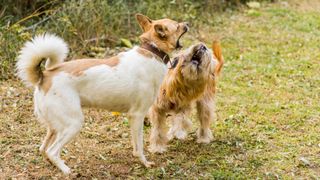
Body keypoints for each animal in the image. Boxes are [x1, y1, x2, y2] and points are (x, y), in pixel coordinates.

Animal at [16, 14, 188, 174]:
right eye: (177, 26)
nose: (187, 23)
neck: (152, 51)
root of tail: (44, 76)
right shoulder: (137, 116)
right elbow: (139, 146)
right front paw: (144, 163)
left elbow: (135, 144)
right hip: (73, 124)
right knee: (52, 151)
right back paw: (67, 171)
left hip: (55, 127)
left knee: (43, 149)